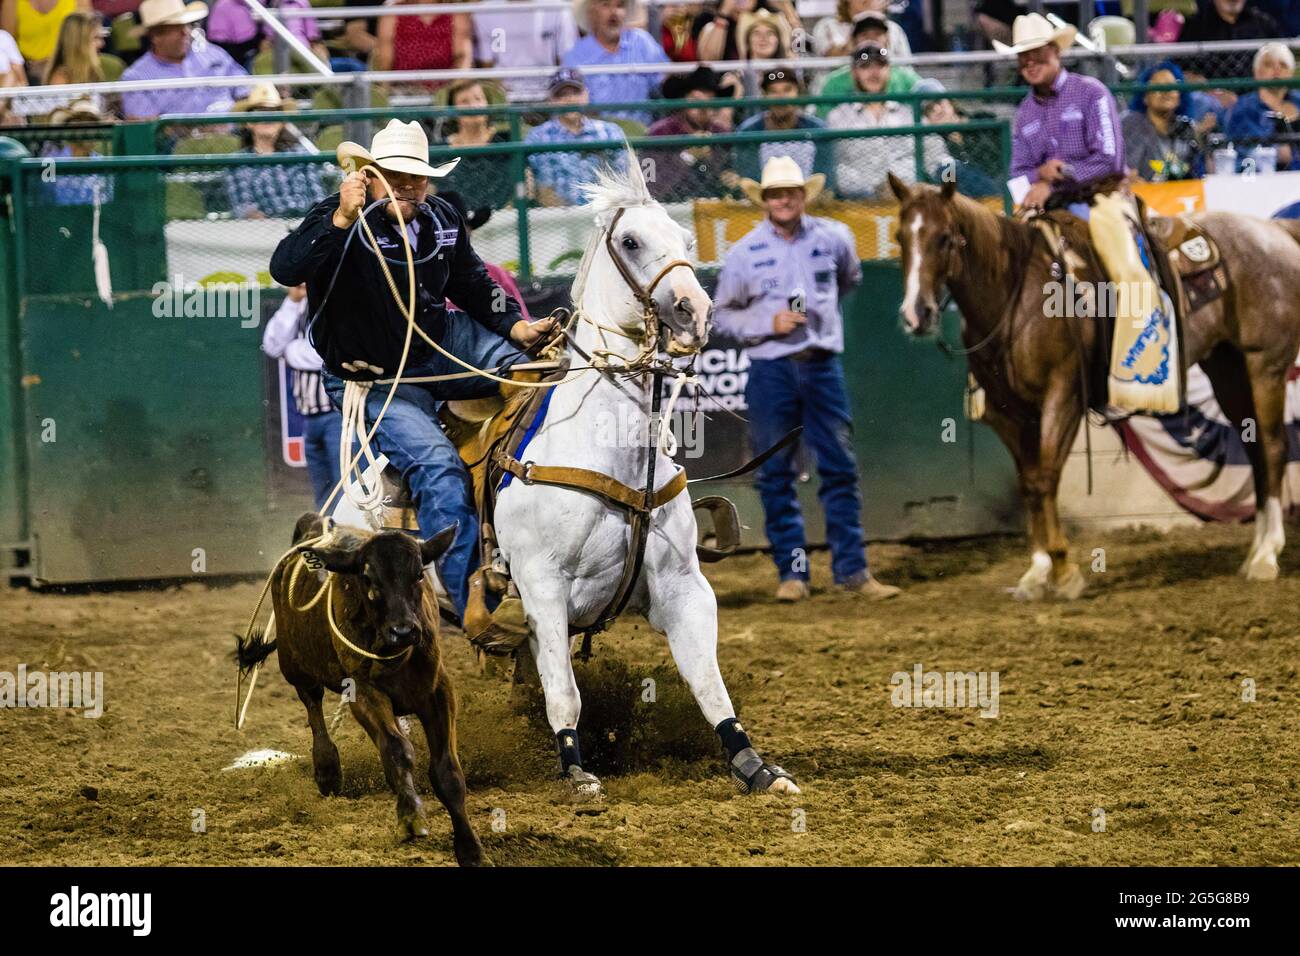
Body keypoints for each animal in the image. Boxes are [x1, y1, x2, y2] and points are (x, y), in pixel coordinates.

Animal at [889, 170, 1300, 590]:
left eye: (944, 237)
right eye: (901, 237)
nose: (916, 314)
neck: (1014, 298)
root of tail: (1275, 232)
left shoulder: (1063, 395)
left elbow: (1046, 477)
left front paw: (1063, 568)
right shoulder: (1009, 411)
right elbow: (1028, 481)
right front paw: (1037, 570)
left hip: (1264, 364)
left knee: (1272, 446)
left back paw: (1267, 555)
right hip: (1227, 368)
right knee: (1254, 448)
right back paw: (1254, 552)